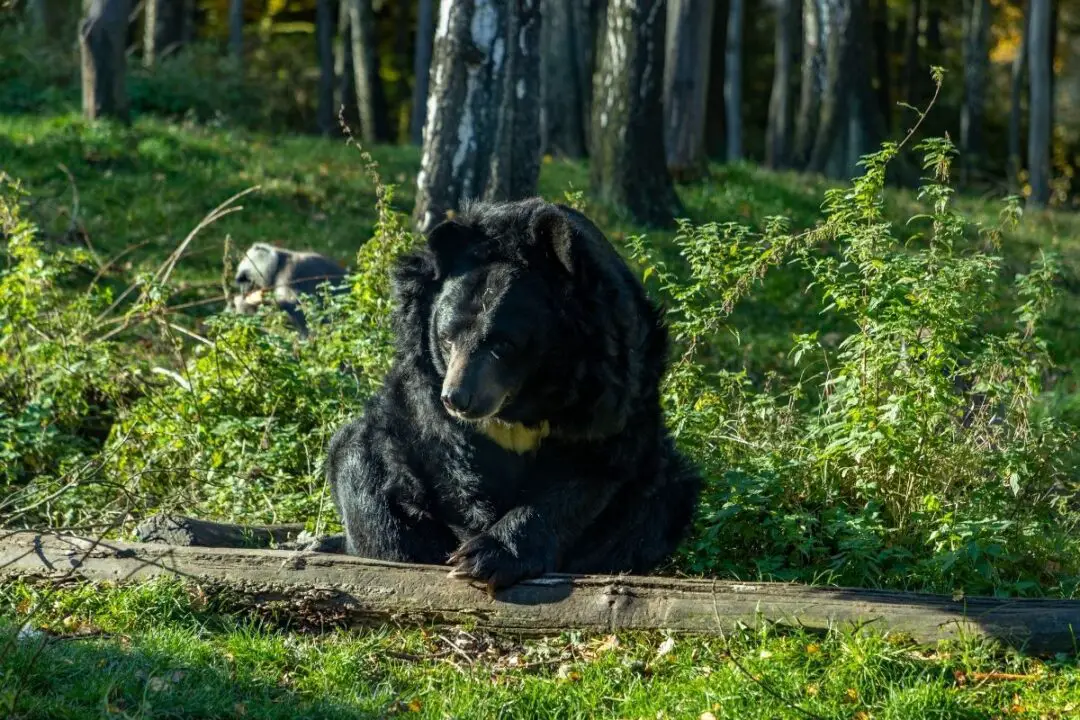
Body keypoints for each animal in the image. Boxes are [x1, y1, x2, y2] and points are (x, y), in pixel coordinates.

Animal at [326, 197, 702, 590]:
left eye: (503, 344)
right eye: (446, 338)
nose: (457, 398)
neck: (524, 400)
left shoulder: (610, 382)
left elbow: (590, 470)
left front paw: (486, 556)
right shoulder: (424, 384)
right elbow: (448, 456)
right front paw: (465, 549)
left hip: (661, 488)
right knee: (363, 474)